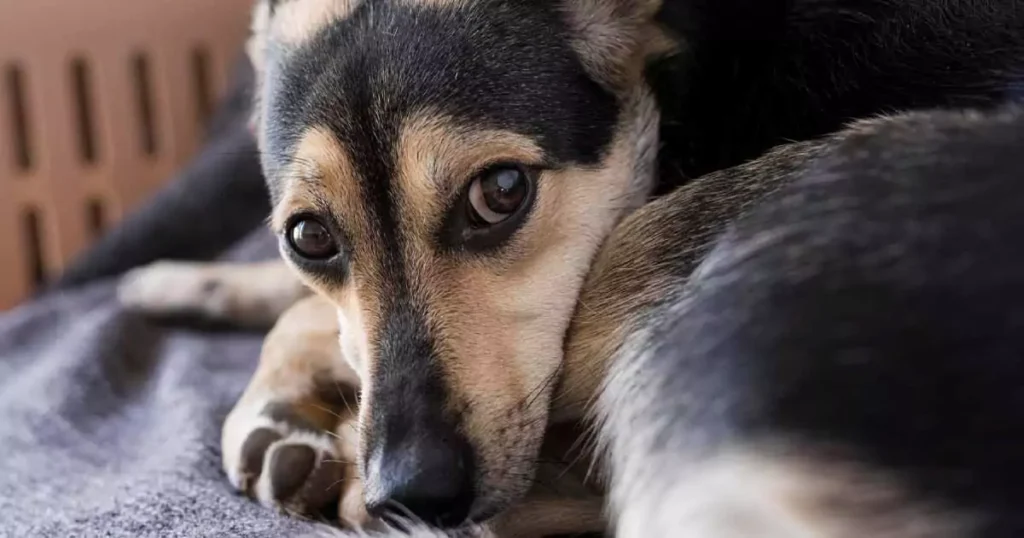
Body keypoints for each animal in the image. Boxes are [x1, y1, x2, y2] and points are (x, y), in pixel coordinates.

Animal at [116, 0, 1024, 532]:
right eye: (309, 238)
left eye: (501, 191)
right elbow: (301, 301)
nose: (411, 494)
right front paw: (176, 281)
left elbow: (303, 315)